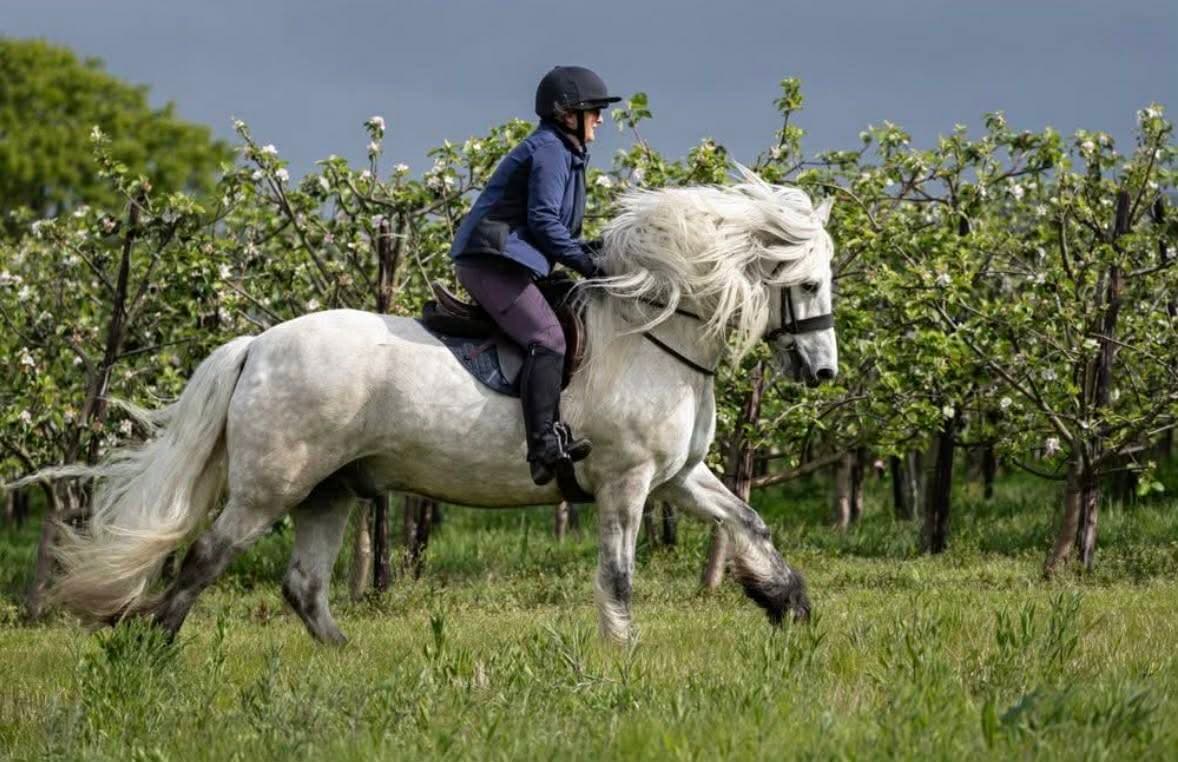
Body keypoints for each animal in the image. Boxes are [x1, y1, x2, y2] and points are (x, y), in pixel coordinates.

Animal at [32, 165, 838, 644]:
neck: (655, 334)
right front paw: (623, 651)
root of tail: (258, 345)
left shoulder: (677, 478)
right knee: (206, 557)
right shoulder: (627, 482)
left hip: (330, 491)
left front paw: (787, 604)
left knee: (303, 586)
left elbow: (750, 521)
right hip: (272, 487)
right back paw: (150, 648)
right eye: (805, 283)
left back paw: (345, 660)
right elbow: (619, 573)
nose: (823, 370)